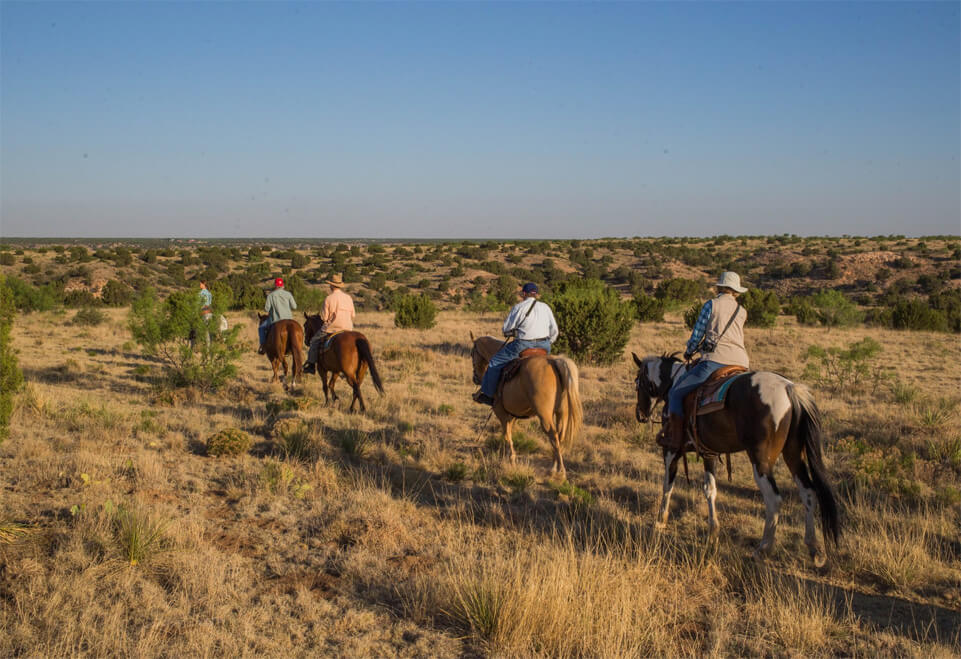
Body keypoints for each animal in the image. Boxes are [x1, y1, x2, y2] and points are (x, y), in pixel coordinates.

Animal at [468, 336, 580, 480]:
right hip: (562, 413)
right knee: (559, 436)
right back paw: (554, 467)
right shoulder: (513, 415)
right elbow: (508, 432)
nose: (475, 378)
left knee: (553, 436)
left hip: (545, 416)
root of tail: (554, 362)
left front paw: (511, 458)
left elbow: (506, 434)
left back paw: (559, 470)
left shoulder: (500, 412)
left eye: (472, 353)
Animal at [632, 354, 840, 564]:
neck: (674, 381)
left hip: (761, 460)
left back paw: (763, 549)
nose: (640, 415)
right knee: (808, 492)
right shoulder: (708, 453)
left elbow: (667, 484)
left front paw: (660, 520)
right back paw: (814, 548)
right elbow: (710, 490)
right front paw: (713, 531)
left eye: (637, 383)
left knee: (773, 499)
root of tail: (789, 389)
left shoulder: (671, 449)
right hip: (794, 454)